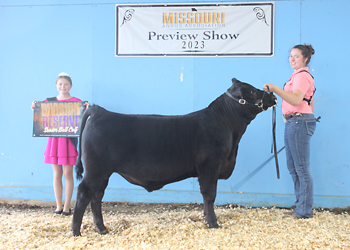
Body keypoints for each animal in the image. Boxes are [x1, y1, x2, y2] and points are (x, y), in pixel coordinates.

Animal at [71, 78, 276, 236]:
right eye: (250, 91)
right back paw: (76, 231)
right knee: (83, 193)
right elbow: (210, 195)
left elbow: (205, 196)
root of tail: (100, 111)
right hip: (95, 170)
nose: (273, 96)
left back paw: (102, 229)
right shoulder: (209, 165)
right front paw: (213, 223)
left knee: (96, 196)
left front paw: (206, 219)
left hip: (103, 172)